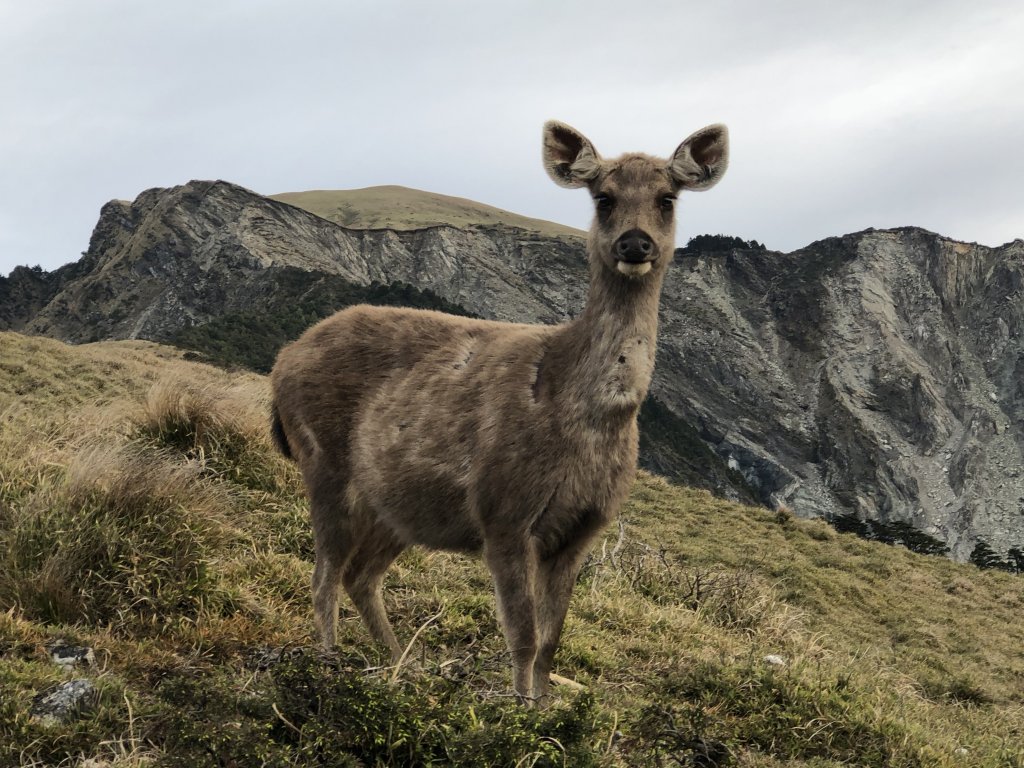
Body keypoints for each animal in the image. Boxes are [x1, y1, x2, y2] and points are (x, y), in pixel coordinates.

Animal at [266, 121, 729, 708]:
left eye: (668, 198)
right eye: (603, 197)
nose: (634, 242)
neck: (588, 421)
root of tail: (283, 359)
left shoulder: (585, 527)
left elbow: (553, 639)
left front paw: (546, 707)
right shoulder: (503, 509)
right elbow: (524, 635)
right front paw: (517, 711)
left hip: (401, 505)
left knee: (360, 576)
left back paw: (404, 668)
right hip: (322, 459)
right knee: (324, 573)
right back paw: (328, 664)